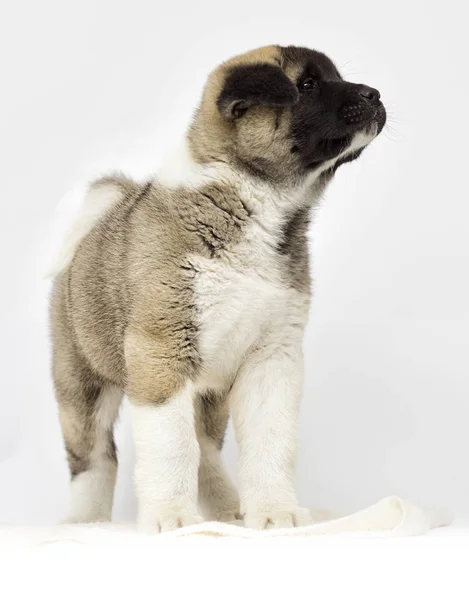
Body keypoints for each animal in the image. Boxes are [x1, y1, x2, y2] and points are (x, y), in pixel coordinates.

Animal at [51, 45, 386, 536]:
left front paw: (275, 511)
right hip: (82, 380)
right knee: (93, 456)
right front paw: (171, 516)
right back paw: (84, 521)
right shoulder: (161, 355)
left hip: (207, 392)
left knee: (205, 448)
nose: (375, 94)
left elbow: (271, 441)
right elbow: (171, 447)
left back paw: (226, 507)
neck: (257, 202)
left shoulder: (272, 358)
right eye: (307, 85)